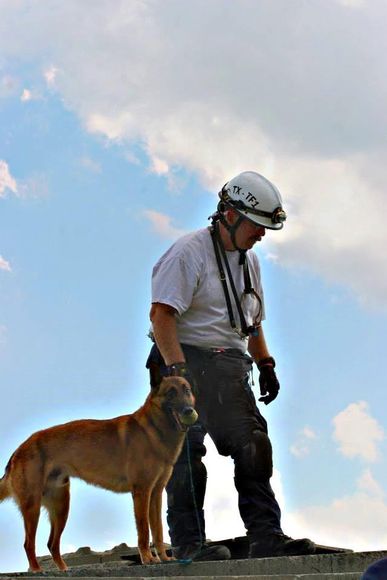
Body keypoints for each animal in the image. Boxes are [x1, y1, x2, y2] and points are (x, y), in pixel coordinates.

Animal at [0, 376, 197, 572]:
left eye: (186, 391)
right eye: (171, 392)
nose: (189, 410)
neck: (153, 430)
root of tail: (18, 450)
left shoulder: (155, 494)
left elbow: (158, 531)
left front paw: (164, 558)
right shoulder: (142, 492)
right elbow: (144, 531)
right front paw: (148, 559)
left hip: (61, 506)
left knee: (52, 544)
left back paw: (64, 569)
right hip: (33, 507)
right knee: (28, 544)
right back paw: (37, 570)